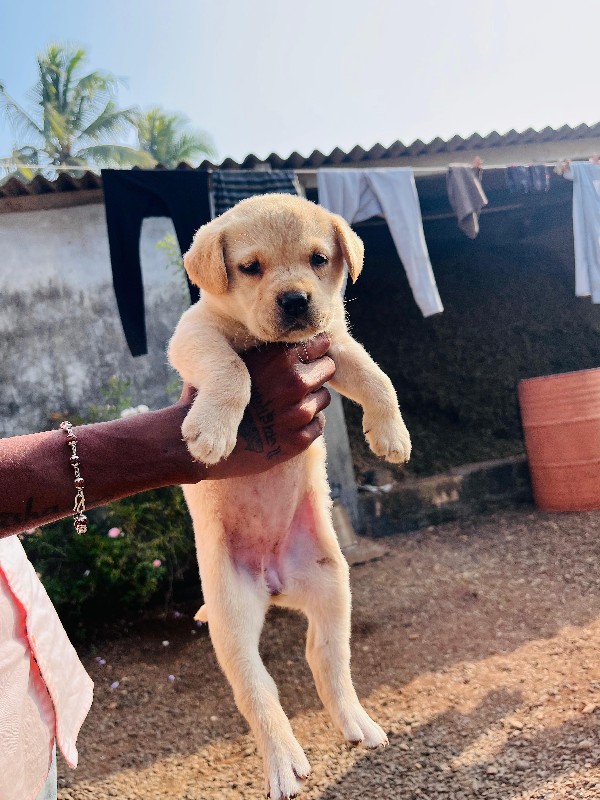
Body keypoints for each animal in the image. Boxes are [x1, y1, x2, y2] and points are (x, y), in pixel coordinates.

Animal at [169, 194, 412, 800]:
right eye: (251, 267)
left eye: (319, 259)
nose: (297, 299)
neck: (271, 343)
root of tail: (276, 583)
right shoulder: (194, 333)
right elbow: (231, 369)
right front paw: (213, 432)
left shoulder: (332, 346)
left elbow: (377, 377)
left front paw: (391, 435)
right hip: (232, 620)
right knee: (259, 692)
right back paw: (283, 763)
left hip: (332, 587)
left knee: (326, 662)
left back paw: (358, 724)